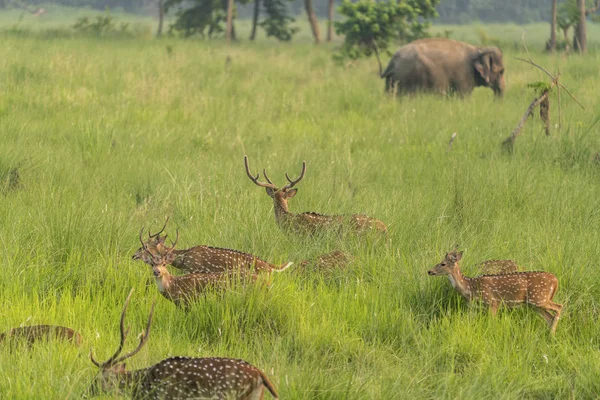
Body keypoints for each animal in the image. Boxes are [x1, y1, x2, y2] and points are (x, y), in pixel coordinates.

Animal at [426, 252, 564, 336]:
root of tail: (555, 280)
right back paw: (549, 335)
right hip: (534, 305)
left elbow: (491, 323)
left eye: (443, 263)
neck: (471, 288)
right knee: (550, 317)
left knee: (559, 307)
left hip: (539, 298)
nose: (429, 271)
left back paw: (552, 335)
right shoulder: (474, 308)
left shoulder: (492, 302)